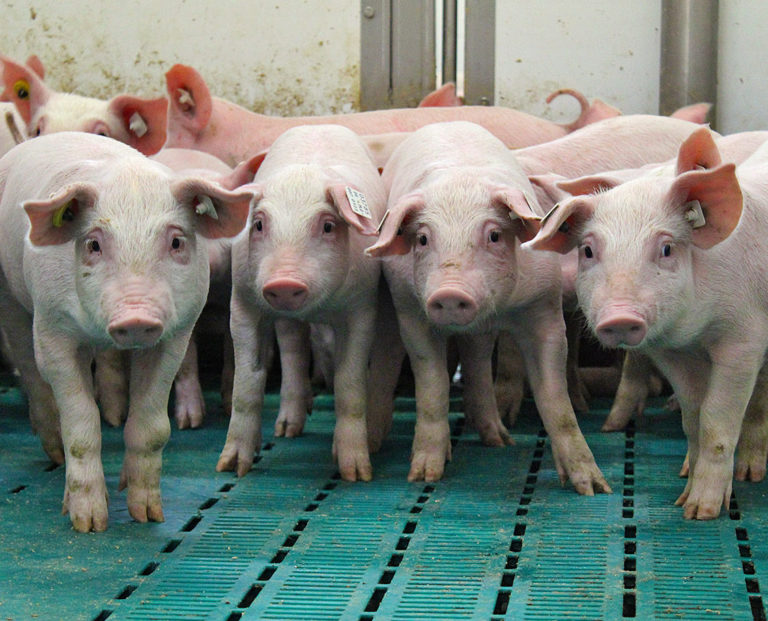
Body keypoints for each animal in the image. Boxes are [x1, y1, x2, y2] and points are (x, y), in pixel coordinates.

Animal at [0, 132, 252, 531]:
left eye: (176, 241)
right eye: (93, 244)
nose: (136, 317)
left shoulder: (176, 335)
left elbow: (152, 428)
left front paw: (147, 516)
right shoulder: (53, 331)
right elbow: (81, 424)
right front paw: (89, 524)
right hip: (10, 296)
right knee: (30, 368)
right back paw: (54, 455)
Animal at [215, 124, 387, 482]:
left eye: (328, 225)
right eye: (259, 224)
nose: (284, 282)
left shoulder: (362, 307)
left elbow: (350, 382)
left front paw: (356, 473)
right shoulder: (242, 303)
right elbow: (247, 382)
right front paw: (231, 468)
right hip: (285, 320)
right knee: (293, 351)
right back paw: (286, 430)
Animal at [365, 121, 611, 493]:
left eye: (494, 235)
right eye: (422, 239)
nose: (450, 292)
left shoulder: (545, 308)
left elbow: (555, 400)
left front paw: (593, 488)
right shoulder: (411, 313)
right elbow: (433, 386)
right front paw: (423, 475)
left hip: (483, 335)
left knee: (478, 360)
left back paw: (499, 440)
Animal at [525, 126, 768, 519]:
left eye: (667, 248)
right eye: (587, 250)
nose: (620, 316)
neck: (696, 331)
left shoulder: (745, 339)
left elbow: (717, 421)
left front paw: (702, 513)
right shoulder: (671, 352)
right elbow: (693, 418)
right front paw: (683, 500)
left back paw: (750, 476)